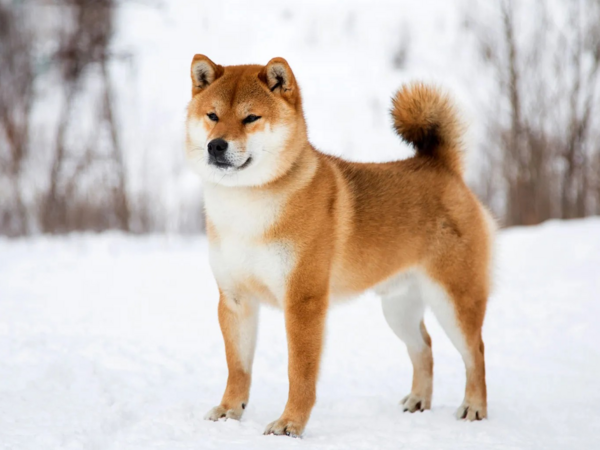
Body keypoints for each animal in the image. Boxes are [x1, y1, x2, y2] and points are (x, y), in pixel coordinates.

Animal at [185, 54, 494, 438]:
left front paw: (290, 423)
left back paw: (474, 407)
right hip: (399, 308)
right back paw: (418, 401)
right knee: (424, 348)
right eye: (212, 116)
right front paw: (229, 411)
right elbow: (237, 367)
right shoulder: (235, 298)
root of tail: (442, 167)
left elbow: (299, 372)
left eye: (250, 117)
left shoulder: (303, 301)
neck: (246, 210)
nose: (216, 145)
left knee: (475, 352)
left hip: (453, 301)